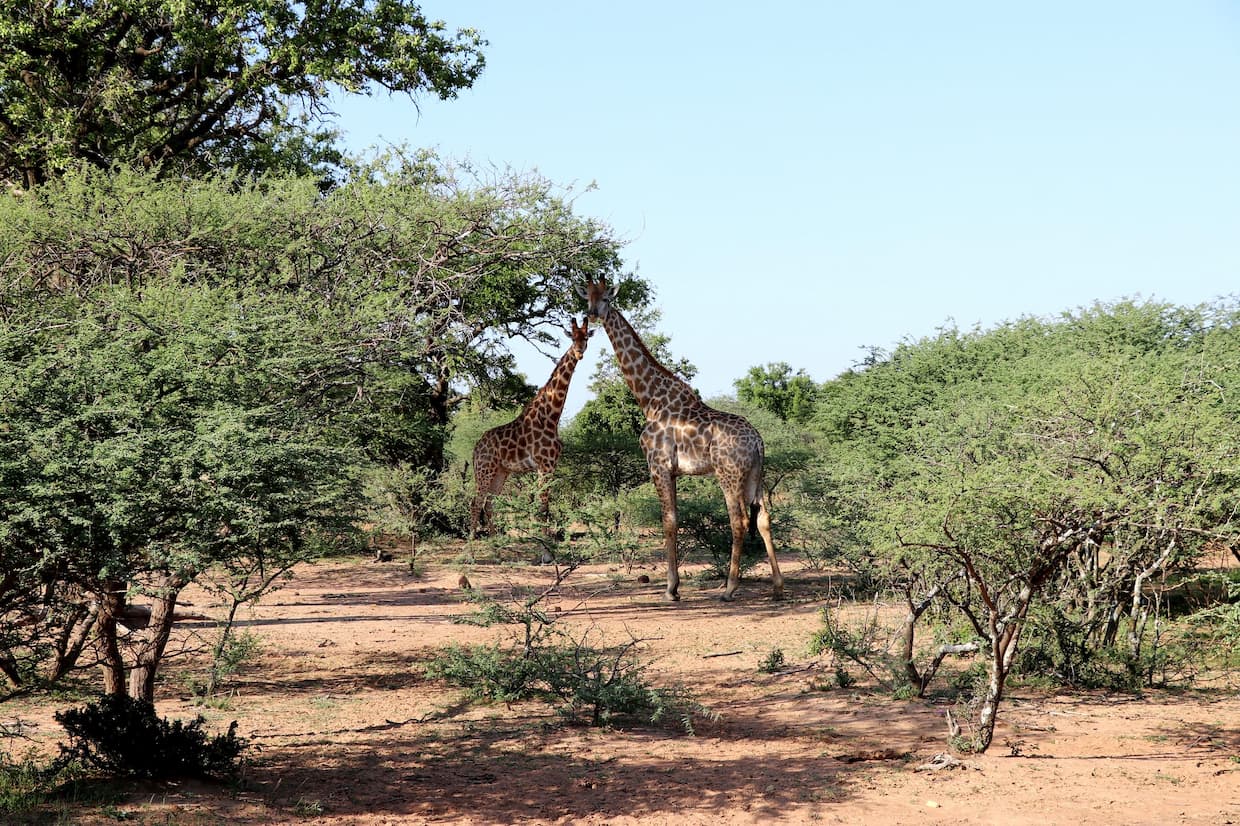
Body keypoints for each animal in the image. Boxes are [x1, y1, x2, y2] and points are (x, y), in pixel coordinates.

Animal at [468, 316, 595, 540]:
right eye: (572, 338)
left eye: (586, 337)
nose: (580, 353)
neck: (551, 416)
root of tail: (476, 448)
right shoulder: (544, 464)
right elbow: (543, 505)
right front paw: (544, 539)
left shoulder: (551, 465)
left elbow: (543, 505)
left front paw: (544, 536)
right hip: (484, 469)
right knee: (477, 502)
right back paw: (472, 538)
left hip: (500, 472)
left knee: (489, 503)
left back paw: (496, 537)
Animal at [575, 281, 778, 597]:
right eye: (589, 297)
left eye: (606, 298)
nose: (593, 313)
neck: (650, 400)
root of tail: (757, 441)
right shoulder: (673, 472)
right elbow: (675, 518)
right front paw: (674, 585)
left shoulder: (657, 466)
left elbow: (668, 521)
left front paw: (671, 589)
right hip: (756, 475)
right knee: (764, 518)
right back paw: (778, 586)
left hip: (729, 474)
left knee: (740, 520)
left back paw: (729, 588)